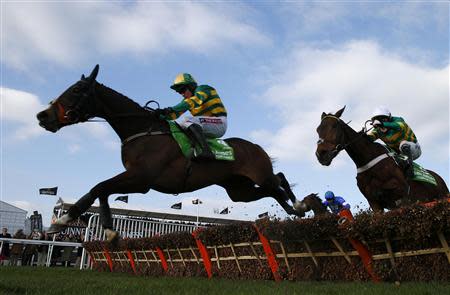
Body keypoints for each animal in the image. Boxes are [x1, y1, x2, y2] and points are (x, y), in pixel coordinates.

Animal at [37, 65, 300, 240]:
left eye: (76, 89)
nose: (42, 116)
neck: (143, 130)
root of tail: (257, 147)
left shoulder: (142, 179)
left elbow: (99, 187)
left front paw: (66, 220)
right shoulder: (135, 177)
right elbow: (100, 190)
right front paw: (104, 228)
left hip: (258, 175)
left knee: (277, 182)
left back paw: (299, 205)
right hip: (239, 190)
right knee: (273, 187)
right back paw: (294, 208)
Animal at [314, 106, 448, 213]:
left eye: (334, 126)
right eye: (318, 129)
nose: (321, 154)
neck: (368, 160)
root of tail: (438, 178)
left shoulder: (402, 195)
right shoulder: (374, 203)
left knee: (405, 146)